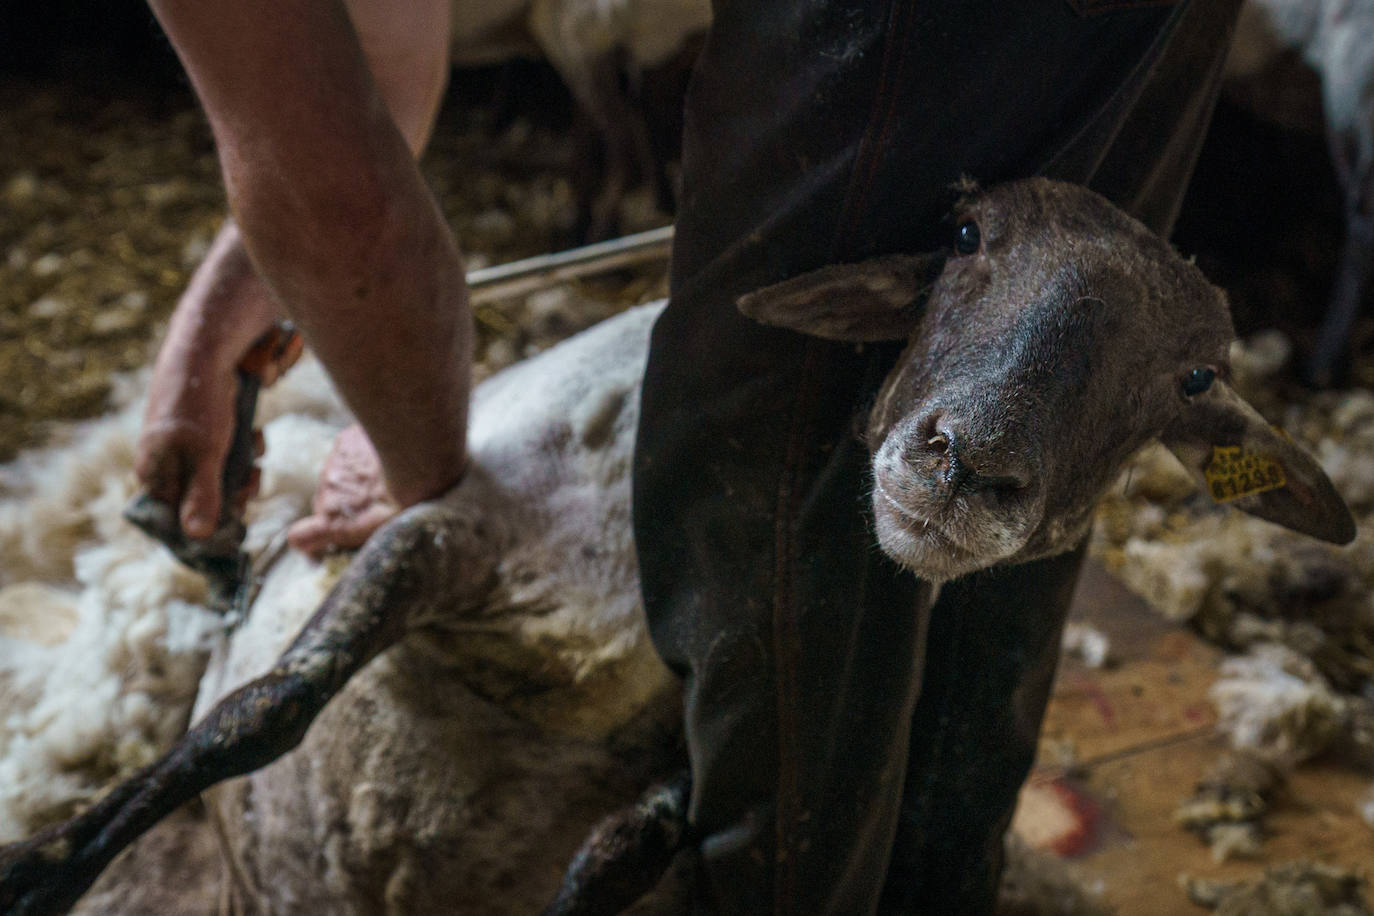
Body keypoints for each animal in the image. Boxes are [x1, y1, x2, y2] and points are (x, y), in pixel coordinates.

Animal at [0, 181, 1352, 916]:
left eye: (1194, 379)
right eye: (967, 234)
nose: (967, 465)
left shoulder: (699, 772)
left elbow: (605, 862)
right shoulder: (443, 531)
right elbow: (263, 711)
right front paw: (41, 863)